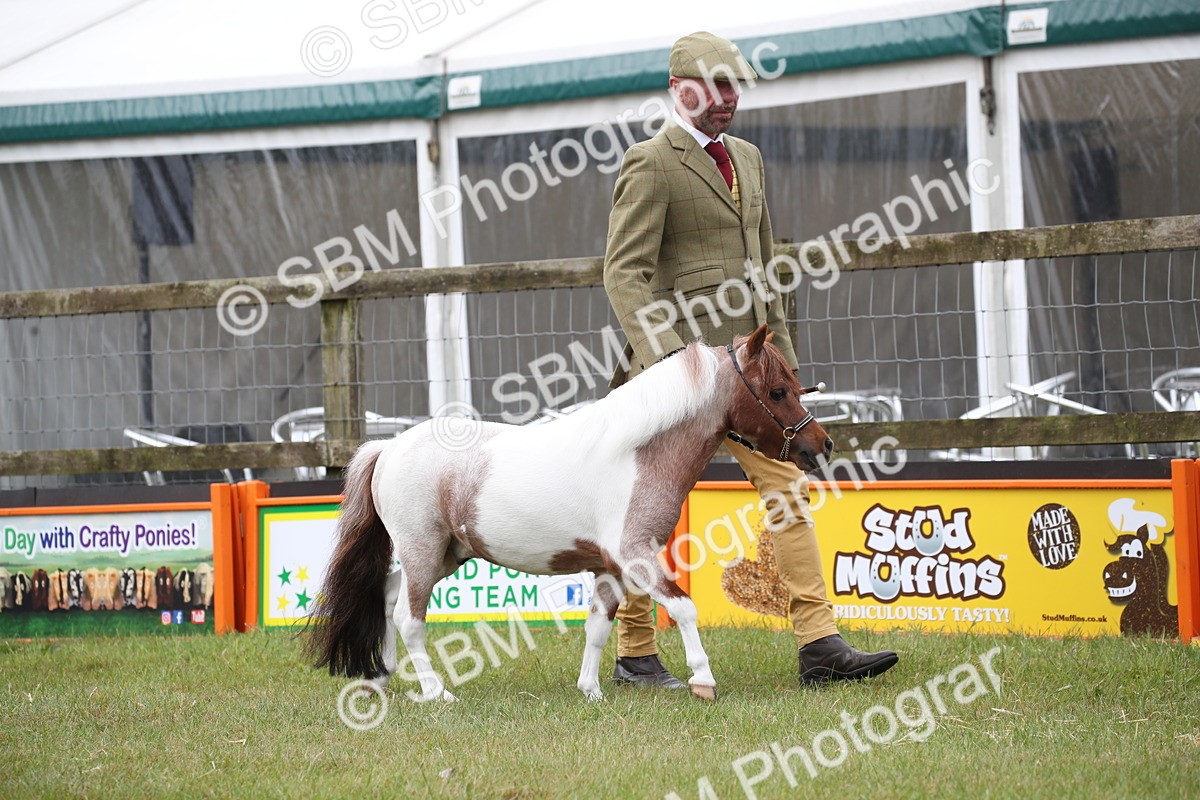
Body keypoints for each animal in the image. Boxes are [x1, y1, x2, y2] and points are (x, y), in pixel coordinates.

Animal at [307, 325, 832, 702]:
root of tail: (389, 447)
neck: (636, 452)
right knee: (408, 617)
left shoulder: (612, 567)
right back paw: (437, 692)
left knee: (387, 594)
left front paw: (591, 690)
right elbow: (683, 606)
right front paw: (703, 680)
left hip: (445, 555)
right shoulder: (637, 556)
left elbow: (598, 627)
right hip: (422, 549)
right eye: (778, 390)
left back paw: (382, 676)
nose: (821, 445)